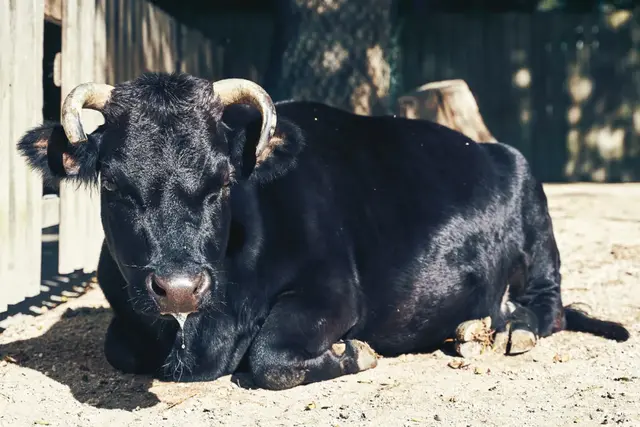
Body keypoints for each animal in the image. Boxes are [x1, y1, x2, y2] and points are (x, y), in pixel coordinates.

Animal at [16, 73, 632, 392]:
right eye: (115, 185)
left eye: (222, 180)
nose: (181, 289)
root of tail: (495, 148)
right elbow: (120, 348)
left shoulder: (333, 292)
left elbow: (269, 358)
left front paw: (355, 353)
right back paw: (470, 329)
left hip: (538, 226)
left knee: (549, 306)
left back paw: (514, 329)